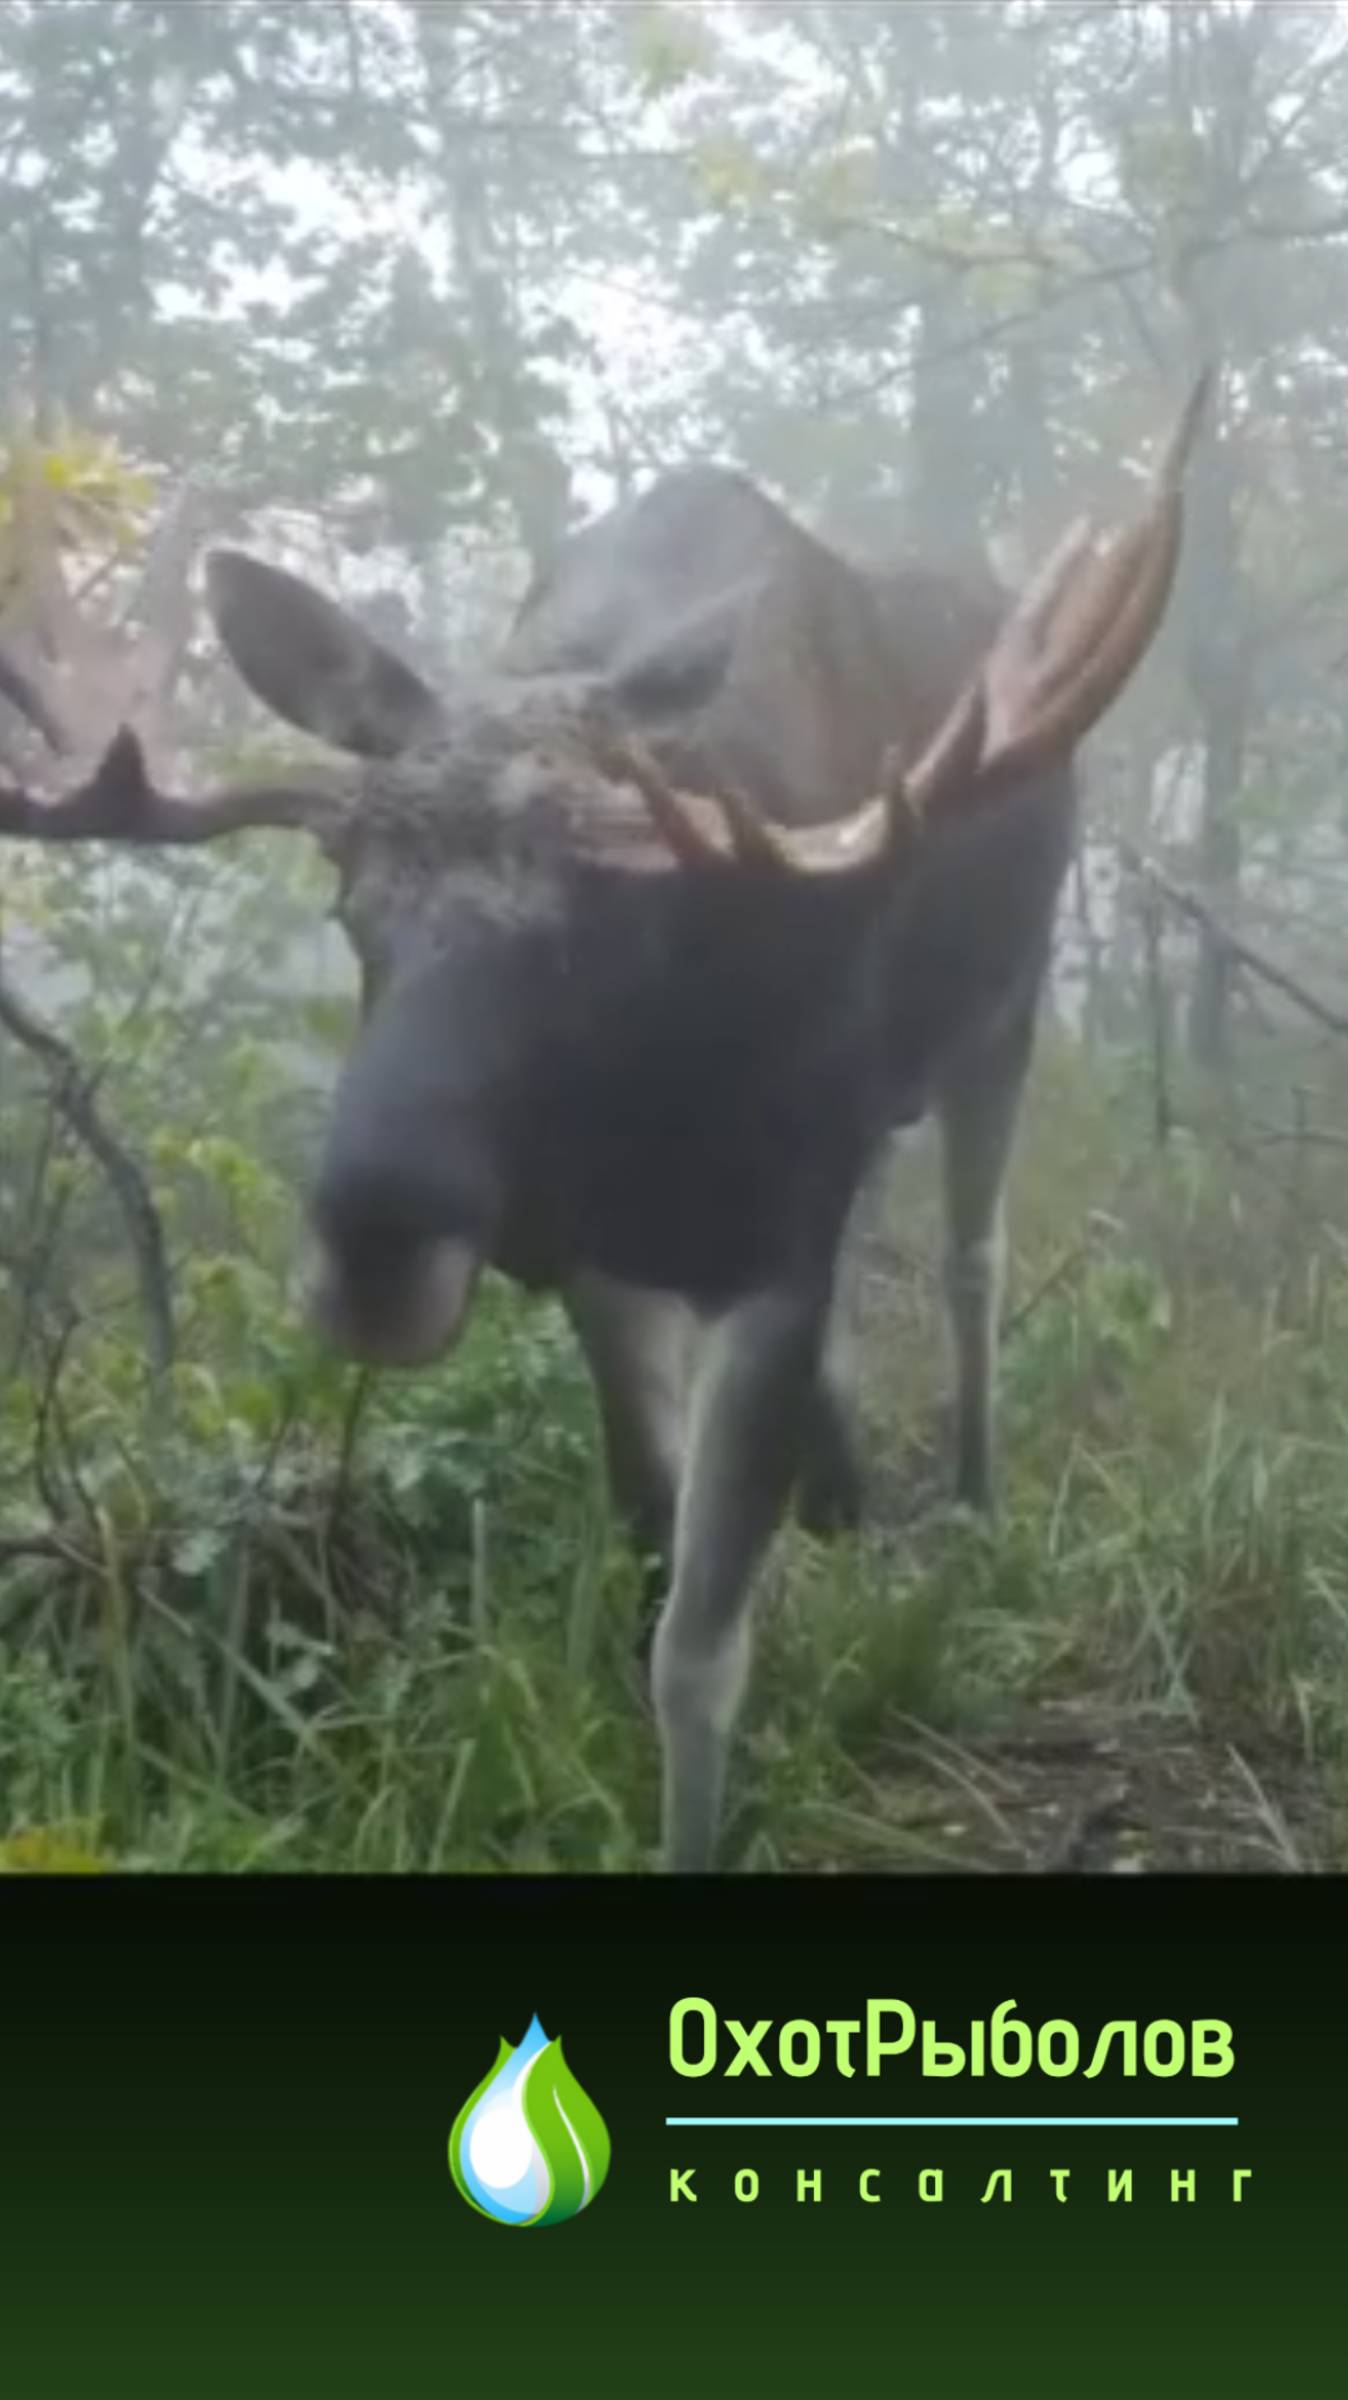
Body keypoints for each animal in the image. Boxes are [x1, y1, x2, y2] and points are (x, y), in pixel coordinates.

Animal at [0, 374, 1199, 1872]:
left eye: (594, 919)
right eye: (349, 902)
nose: (374, 1253)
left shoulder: (776, 1237)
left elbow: (698, 1652)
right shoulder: (599, 1256)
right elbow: (647, 1540)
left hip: (1007, 1012)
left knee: (972, 1262)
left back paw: (969, 1500)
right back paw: (845, 1497)